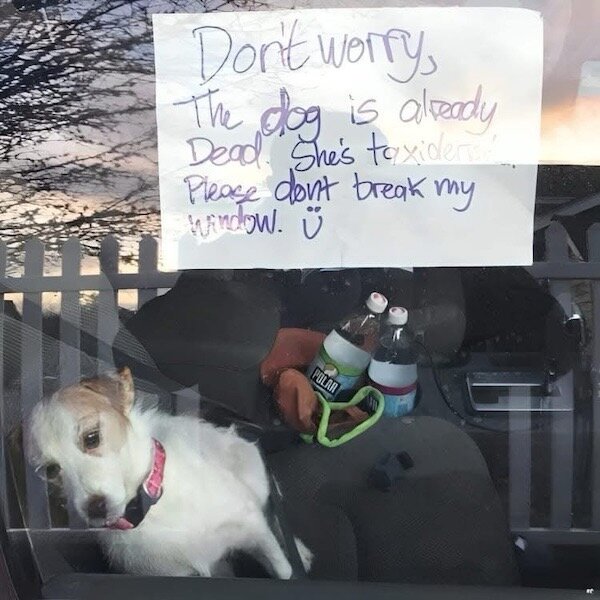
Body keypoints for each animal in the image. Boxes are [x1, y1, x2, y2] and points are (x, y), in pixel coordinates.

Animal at [25, 367, 312, 578]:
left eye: (91, 437)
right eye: (49, 470)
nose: (96, 508)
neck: (153, 507)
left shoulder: (251, 525)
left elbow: (284, 569)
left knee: (273, 514)